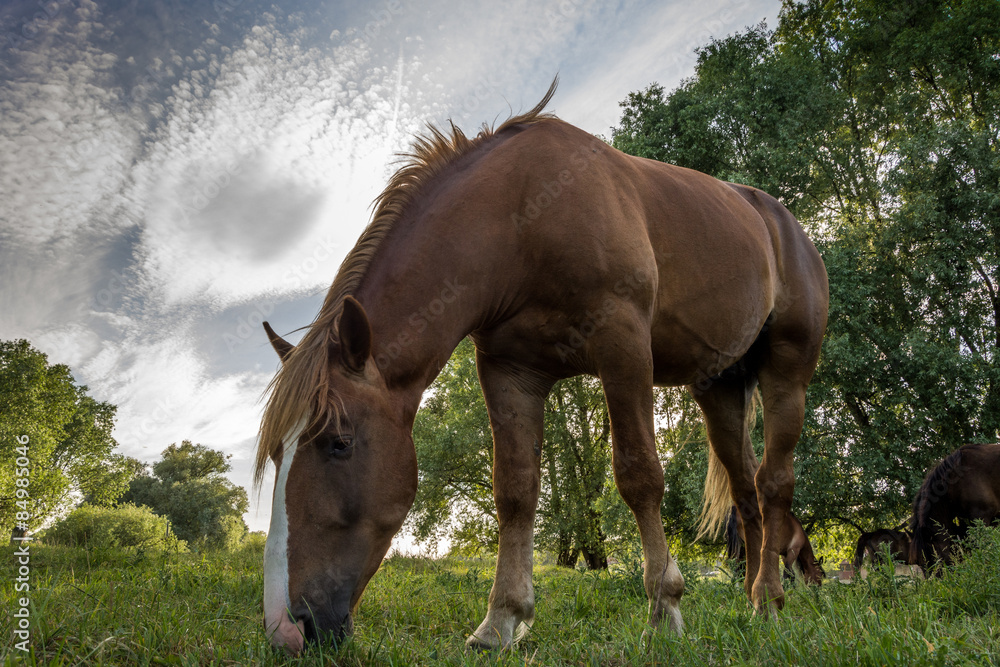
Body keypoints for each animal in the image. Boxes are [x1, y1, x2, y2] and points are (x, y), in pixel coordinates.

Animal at [256, 79, 829, 653]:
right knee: (746, 492)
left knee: (774, 483)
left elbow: (639, 475)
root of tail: (783, 224)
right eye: (278, 454)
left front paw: (665, 608)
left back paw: (770, 600)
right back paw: (753, 604)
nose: (286, 628)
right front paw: (502, 619)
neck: (522, 220)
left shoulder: (623, 348)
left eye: (339, 443)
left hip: (787, 374)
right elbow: (514, 490)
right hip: (719, 387)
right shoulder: (510, 372)